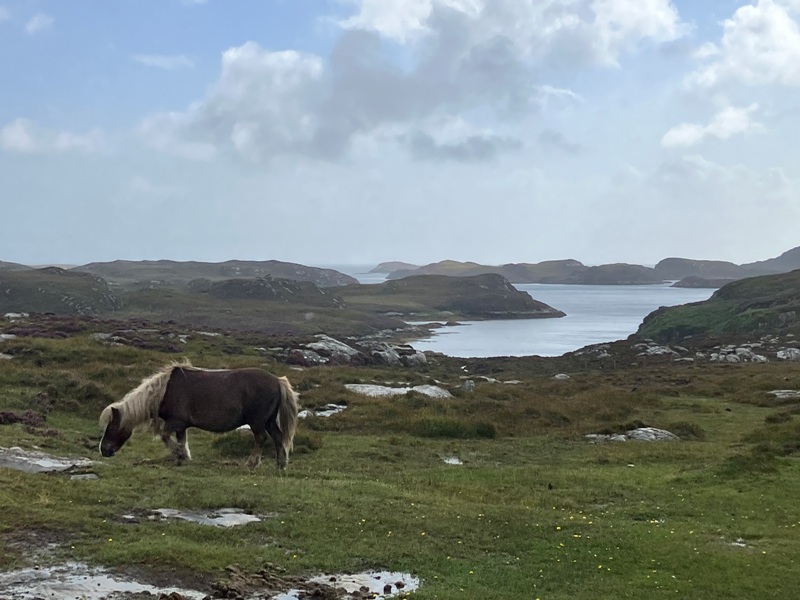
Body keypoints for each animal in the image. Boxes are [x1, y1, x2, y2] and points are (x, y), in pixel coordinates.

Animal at [100, 364, 300, 472]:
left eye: (111, 427)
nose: (103, 450)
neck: (164, 392)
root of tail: (277, 380)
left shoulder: (174, 422)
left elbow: (165, 437)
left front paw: (178, 454)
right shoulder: (181, 426)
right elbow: (182, 440)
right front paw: (182, 457)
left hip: (257, 422)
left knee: (261, 438)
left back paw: (252, 464)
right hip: (269, 421)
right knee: (278, 437)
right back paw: (281, 464)